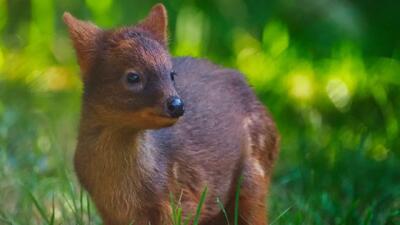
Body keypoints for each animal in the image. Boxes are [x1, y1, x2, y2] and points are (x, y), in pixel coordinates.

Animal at [64, 3, 280, 225]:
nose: (177, 105)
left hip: (254, 175)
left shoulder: (182, 201)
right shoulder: (110, 212)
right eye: (133, 76)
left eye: (171, 74)